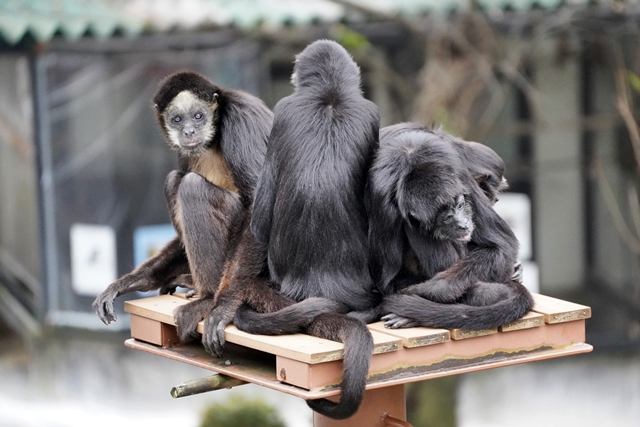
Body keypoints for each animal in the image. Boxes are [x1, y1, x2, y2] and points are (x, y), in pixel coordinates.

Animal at [94, 70, 274, 348]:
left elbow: (258, 208)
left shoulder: (241, 118)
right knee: (173, 180)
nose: (188, 131)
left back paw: (208, 298)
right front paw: (131, 281)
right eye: (177, 120)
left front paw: (223, 306)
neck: (212, 137)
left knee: (191, 186)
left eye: (198, 116)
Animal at [368, 123, 532, 332]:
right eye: (446, 218)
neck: (411, 157)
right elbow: (389, 280)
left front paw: (420, 291)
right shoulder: (381, 199)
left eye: (460, 205)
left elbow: (501, 246)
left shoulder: (456, 169)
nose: (463, 224)